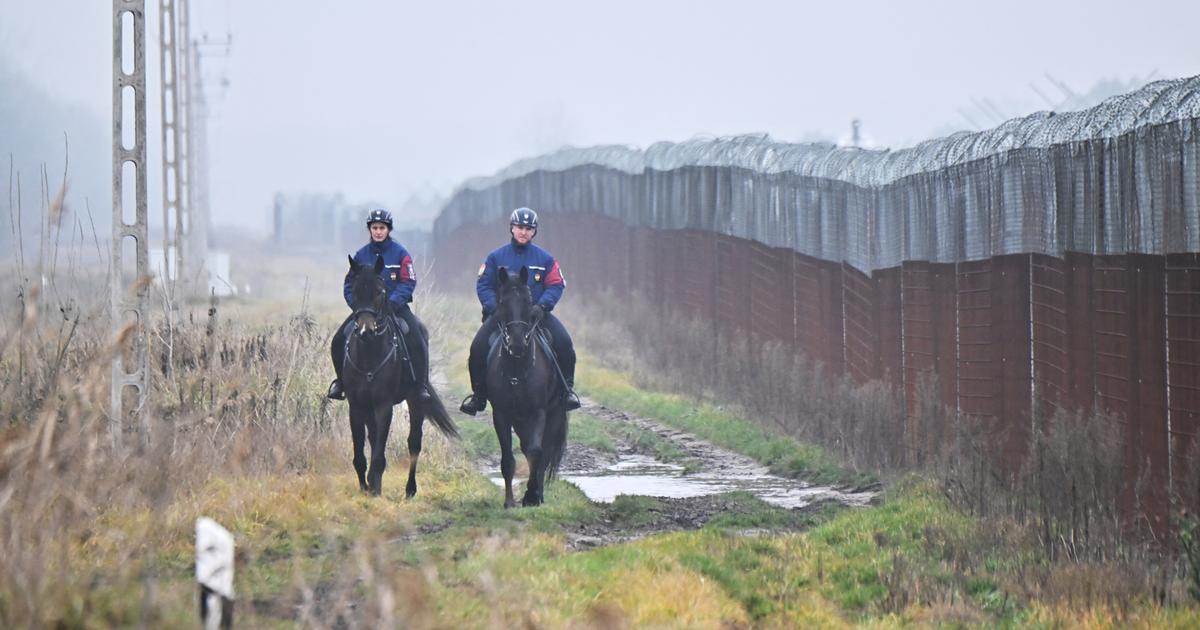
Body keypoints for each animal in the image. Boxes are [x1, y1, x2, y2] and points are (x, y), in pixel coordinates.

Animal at [348, 254, 463, 496]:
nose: (365, 331)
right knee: (374, 438)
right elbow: (361, 451)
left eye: (380, 292)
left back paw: (410, 489)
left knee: (414, 443)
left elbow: (380, 451)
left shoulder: (384, 404)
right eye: (354, 290)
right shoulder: (356, 405)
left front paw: (375, 488)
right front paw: (365, 487)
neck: (369, 355)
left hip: (416, 399)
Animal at [484, 265, 568, 506]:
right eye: (502, 301)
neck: (517, 369)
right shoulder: (501, 414)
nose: (518, 343)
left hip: (554, 413)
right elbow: (508, 459)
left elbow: (536, 452)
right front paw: (509, 502)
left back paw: (538, 493)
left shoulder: (538, 411)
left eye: (529, 301)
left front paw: (531, 495)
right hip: (519, 419)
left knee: (544, 451)